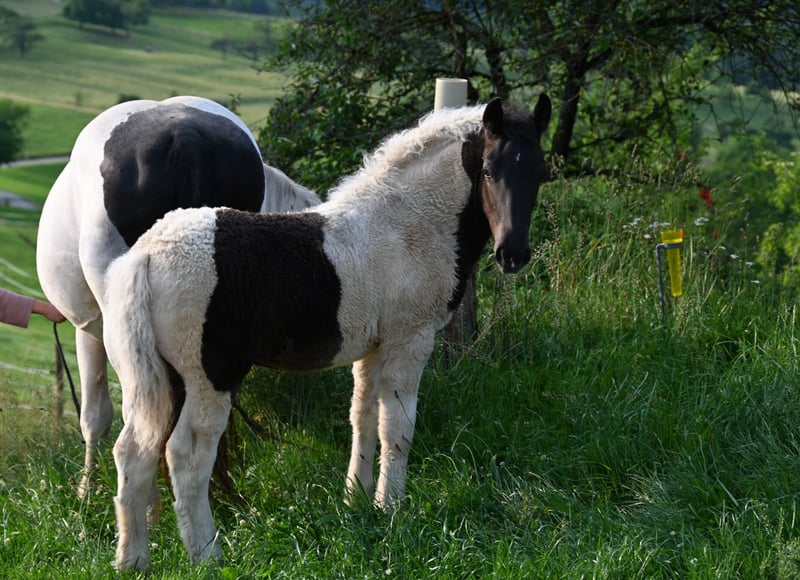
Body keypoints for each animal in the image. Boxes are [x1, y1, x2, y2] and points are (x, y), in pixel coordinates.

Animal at [102, 95, 551, 571]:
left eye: (540, 172)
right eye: (488, 170)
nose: (512, 255)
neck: (406, 225)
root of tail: (148, 254)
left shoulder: (372, 349)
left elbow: (364, 416)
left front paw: (358, 502)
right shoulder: (409, 339)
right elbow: (398, 425)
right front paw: (393, 509)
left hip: (154, 378)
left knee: (133, 451)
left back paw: (133, 561)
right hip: (209, 379)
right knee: (184, 455)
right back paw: (208, 555)